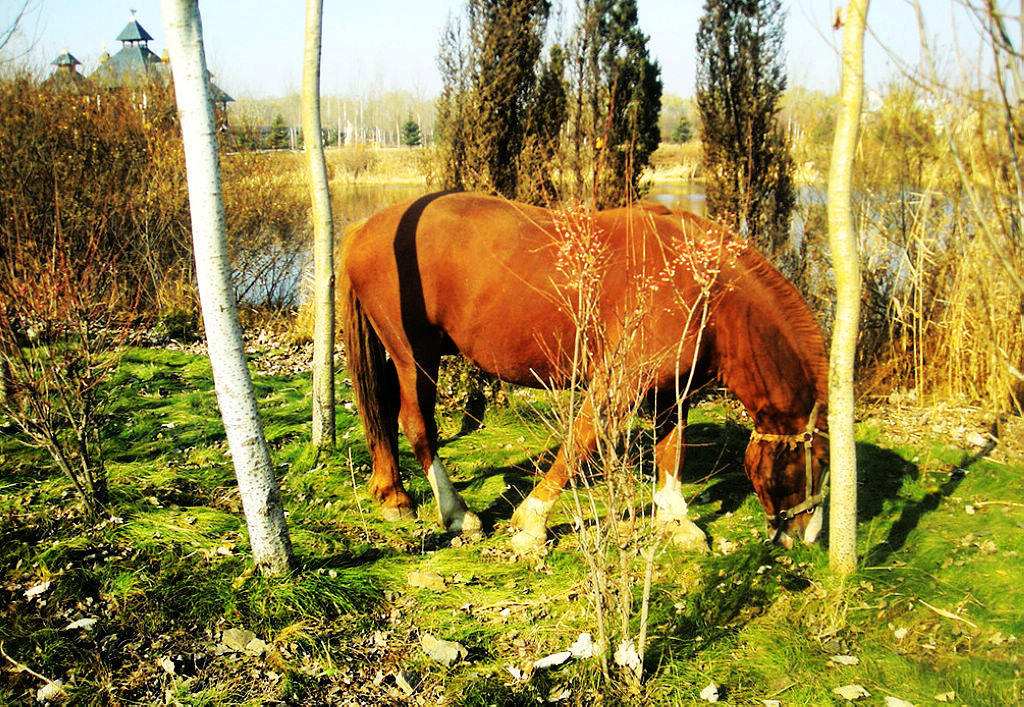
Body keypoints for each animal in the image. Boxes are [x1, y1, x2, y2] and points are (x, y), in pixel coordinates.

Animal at [339, 191, 827, 549]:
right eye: (820, 462)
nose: (806, 535)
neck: (701, 285)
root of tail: (364, 227)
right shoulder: (619, 383)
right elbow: (580, 442)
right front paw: (532, 521)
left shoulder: (670, 391)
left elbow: (672, 449)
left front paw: (676, 517)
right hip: (414, 355)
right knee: (416, 422)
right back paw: (459, 514)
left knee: (382, 410)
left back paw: (392, 495)